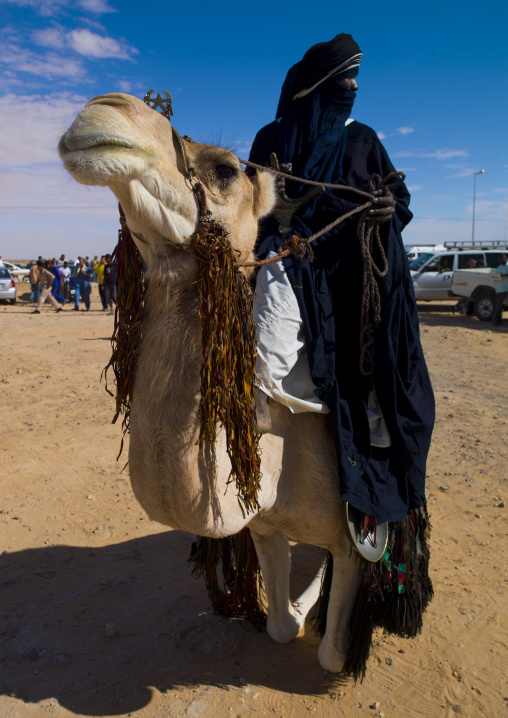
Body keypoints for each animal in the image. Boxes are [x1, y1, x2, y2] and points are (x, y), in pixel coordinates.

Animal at [59, 92, 362, 673]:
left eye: (225, 169)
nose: (103, 108)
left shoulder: (355, 536)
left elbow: (333, 655)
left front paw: (321, 599)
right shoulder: (263, 526)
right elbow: (282, 627)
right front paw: (297, 603)